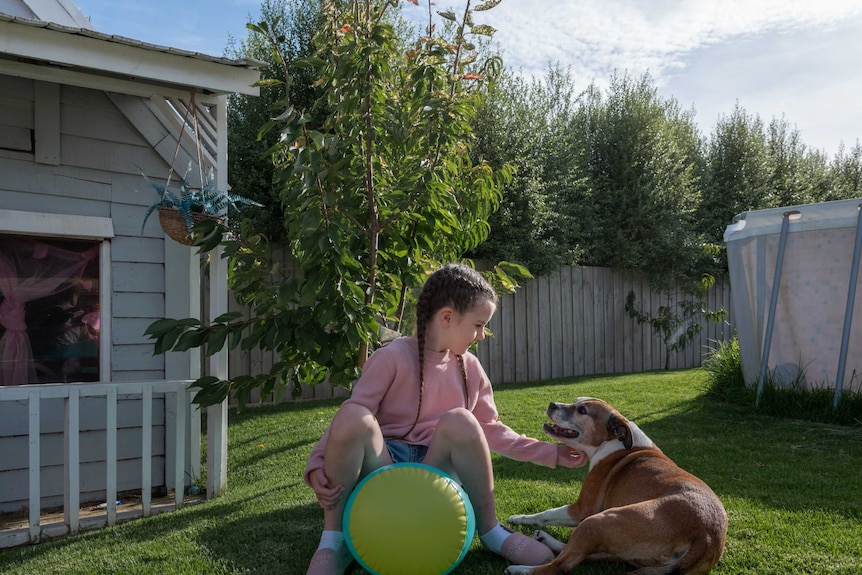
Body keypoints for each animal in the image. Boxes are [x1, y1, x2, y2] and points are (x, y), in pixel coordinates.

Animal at [506, 400, 728, 575]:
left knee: (561, 565)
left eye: (582, 410)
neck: (615, 441)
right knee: (583, 554)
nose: (552, 404)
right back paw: (545, 539)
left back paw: (521, 569)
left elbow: (546, 513)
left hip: (597, 521)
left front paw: (520, 518)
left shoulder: (582, 509)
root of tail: (705, 540)